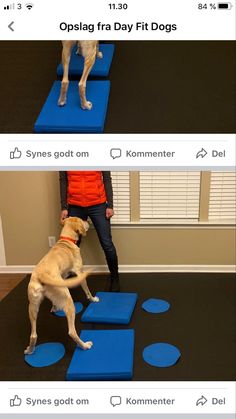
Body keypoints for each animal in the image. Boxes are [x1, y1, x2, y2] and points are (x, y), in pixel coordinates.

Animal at [23, 218, 97, 356]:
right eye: (82, 220)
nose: (88, 220)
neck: (66, 240)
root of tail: (41, 275)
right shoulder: (79, 273)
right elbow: (87, 291)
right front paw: (93, 299)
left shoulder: (64, 276)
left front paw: (54, 306)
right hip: (68, 301)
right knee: (72, 332)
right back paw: (84, 345)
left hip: (32, 306)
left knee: (33, 335)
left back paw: (30, 350)